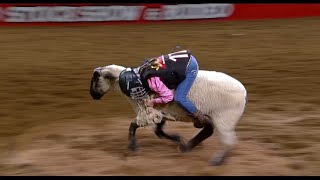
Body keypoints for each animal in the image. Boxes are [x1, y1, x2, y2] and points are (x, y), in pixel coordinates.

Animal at [89, 64, 248, 165]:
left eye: (96, 78)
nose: (93, 95)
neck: (131, 81)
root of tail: (244, 93)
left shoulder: (148, 112)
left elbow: (133, 126)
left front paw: (133, 147)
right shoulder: (160, 113)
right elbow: (159, 132)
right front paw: (178, 139)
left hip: (224, 118)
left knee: (228, 141)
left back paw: (217, 161)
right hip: (213, 117)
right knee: (208, 131)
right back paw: (187, 147)